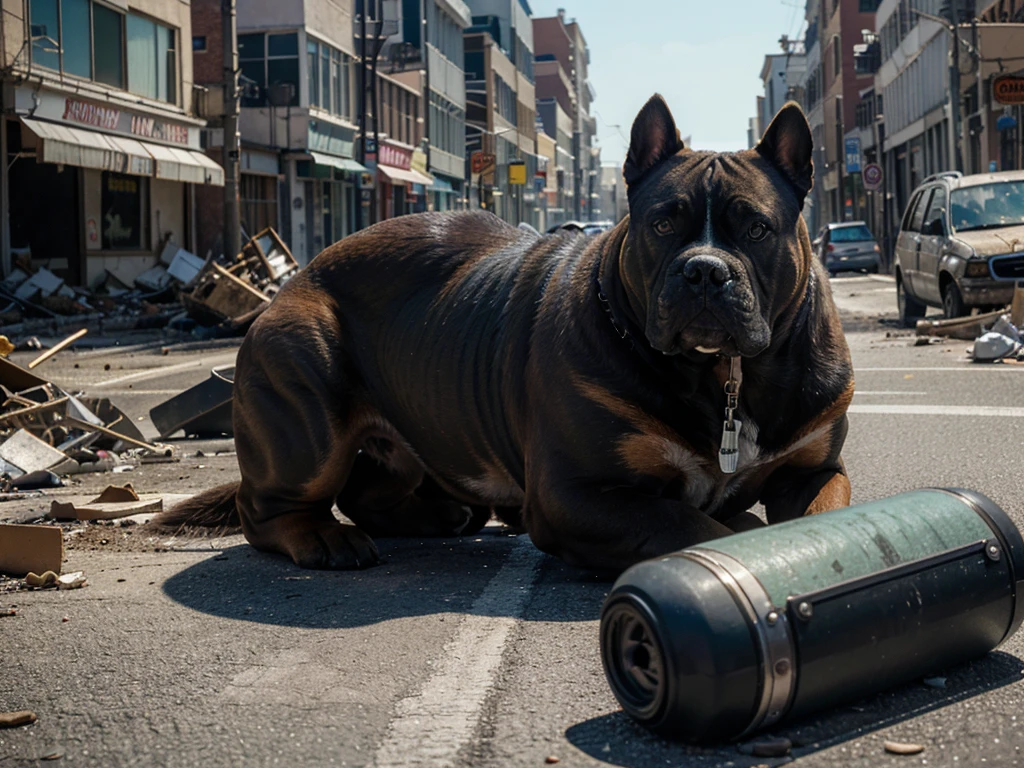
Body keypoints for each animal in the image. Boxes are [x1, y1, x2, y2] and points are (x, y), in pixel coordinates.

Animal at [155, 96, 851, 573]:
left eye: (756, 228)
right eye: (662, 225)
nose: (704, 270)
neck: (723, 374)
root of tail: (295, 279)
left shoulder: (814, 469)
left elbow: (827, 508)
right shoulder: (580, 493)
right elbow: (695, 528)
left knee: (374, 490)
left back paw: (442, 514)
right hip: (307, 406)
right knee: (270, 507)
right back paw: (324, 537)